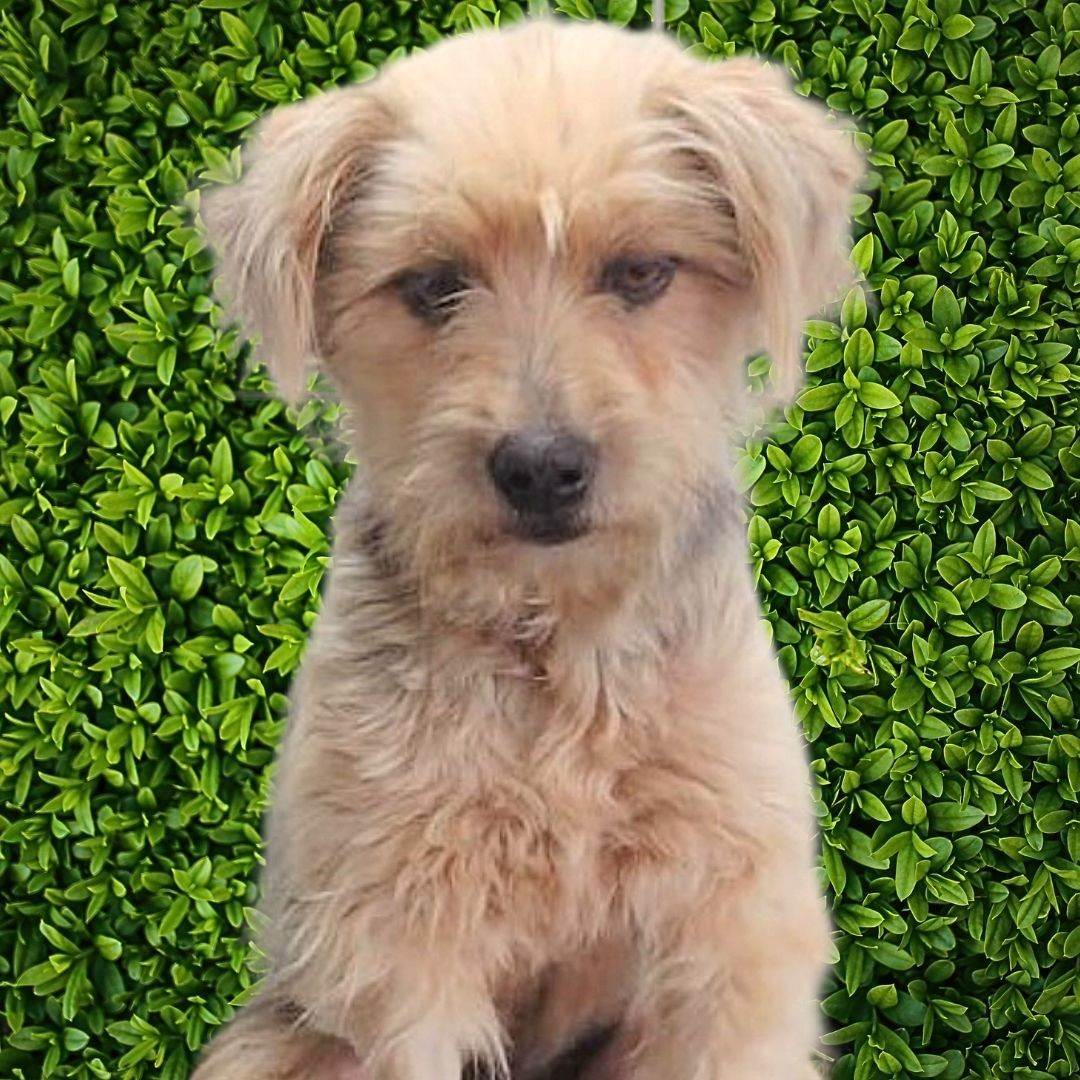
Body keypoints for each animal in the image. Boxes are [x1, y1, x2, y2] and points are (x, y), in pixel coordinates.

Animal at [192, 15, 862, 1080]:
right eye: (432, 285)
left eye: (640, 273)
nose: (542, 468)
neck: (555, 641)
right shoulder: (398, 948)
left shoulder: (727, 935)